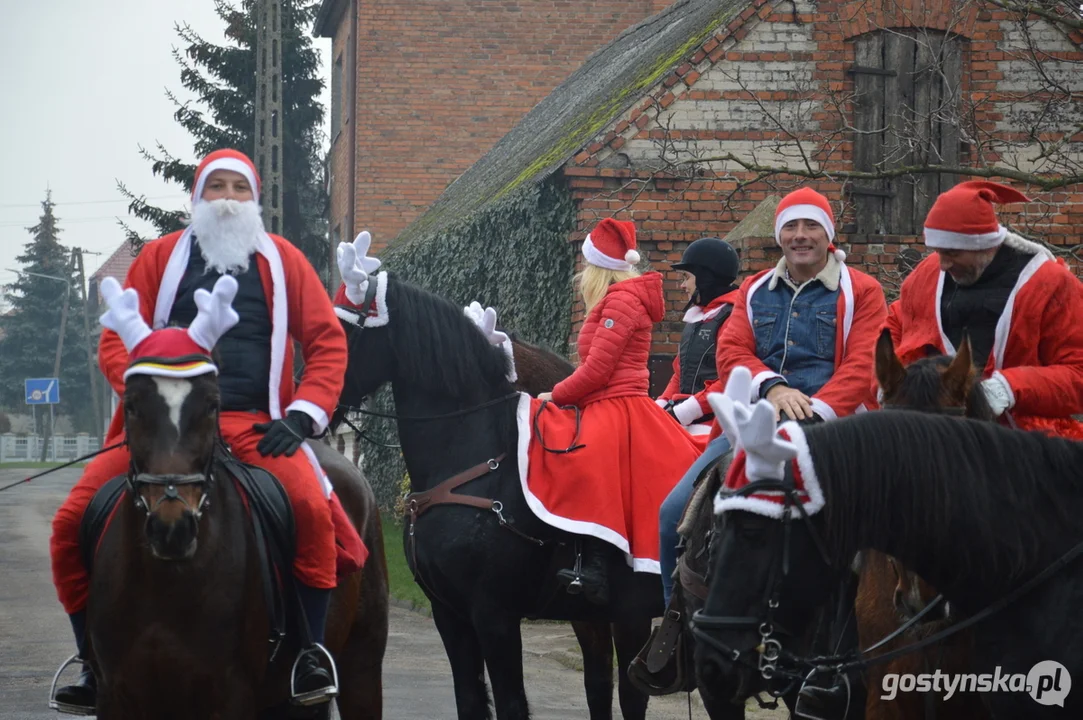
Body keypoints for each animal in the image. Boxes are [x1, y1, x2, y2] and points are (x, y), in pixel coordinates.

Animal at [87, 370, 389, 718]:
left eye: (210, 407)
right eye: (132, 406)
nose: (172, 528)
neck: (166, 584)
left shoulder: (231, 693)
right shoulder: (115, 694)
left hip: (362, 666)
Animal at [337, 272, 658, 714]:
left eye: (344, 327)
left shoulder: (494, 616)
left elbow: (510, 703)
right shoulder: (449, 614)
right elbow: (470, 700)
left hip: (633, 613)